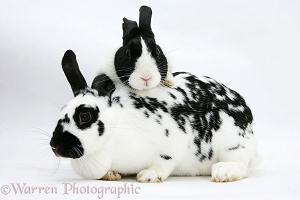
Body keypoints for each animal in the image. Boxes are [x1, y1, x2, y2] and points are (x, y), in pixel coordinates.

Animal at [50, 50, 256, 183]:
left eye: (85, 115)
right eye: (61, 111)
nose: (54, 145)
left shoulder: (174, 140)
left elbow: (164, 161)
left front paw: (148, 176)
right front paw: (111, 175)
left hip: (231, 144)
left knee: (241, 164)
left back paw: (223, 172)